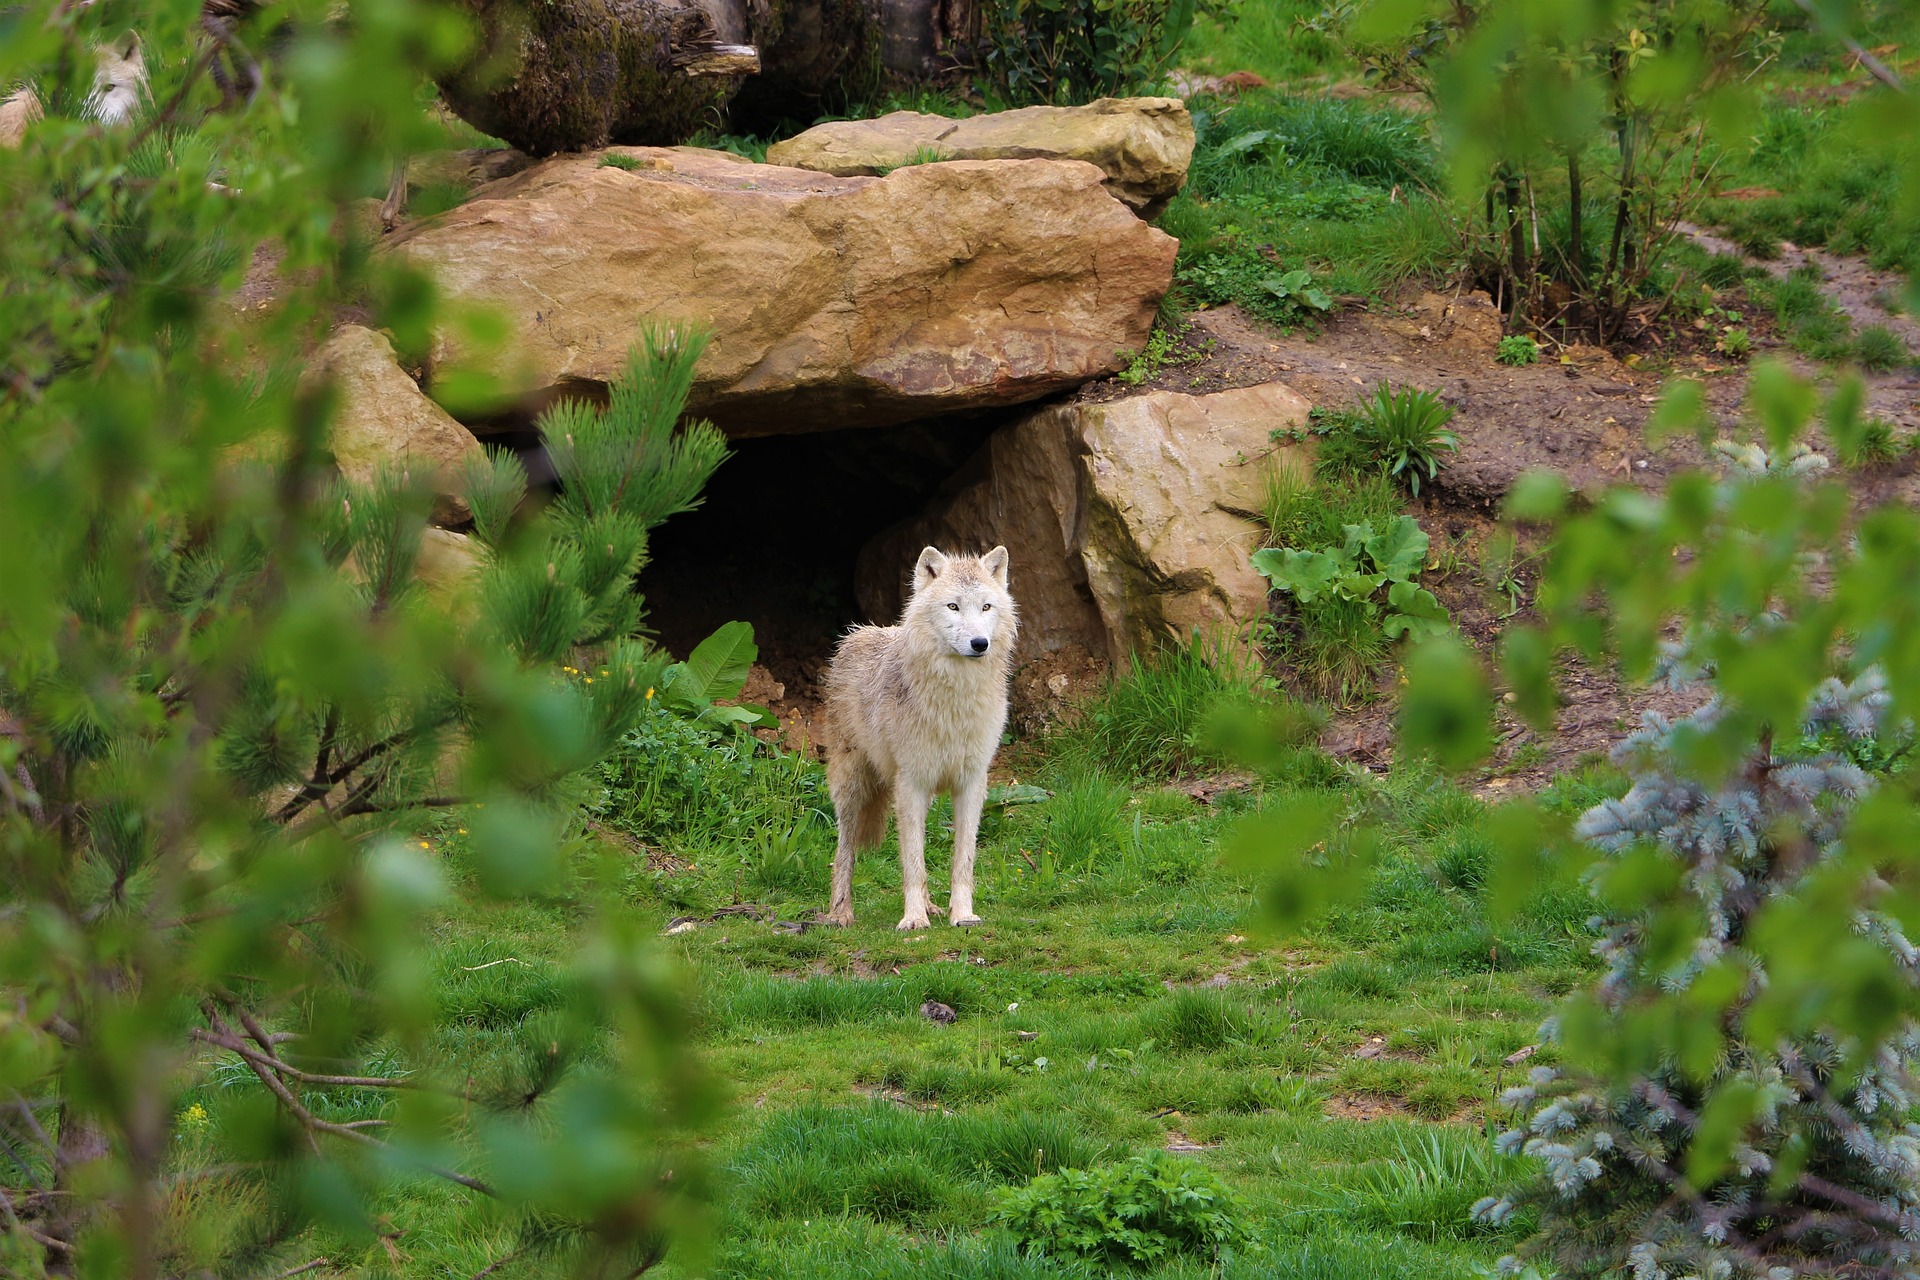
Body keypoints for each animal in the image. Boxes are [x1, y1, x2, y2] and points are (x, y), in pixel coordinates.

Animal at [825, 548, 1021, 932]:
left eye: (986, 607)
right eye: (953, 606)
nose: (980, 644)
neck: (956, 699)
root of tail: (858, 634)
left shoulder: (971, 783)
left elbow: (963, 861)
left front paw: (962, 915)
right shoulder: (911, 783)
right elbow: (912, 862)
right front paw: (913, 919)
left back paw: (932, 906)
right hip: (853, 787)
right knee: (843, 851)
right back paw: (840, 913)